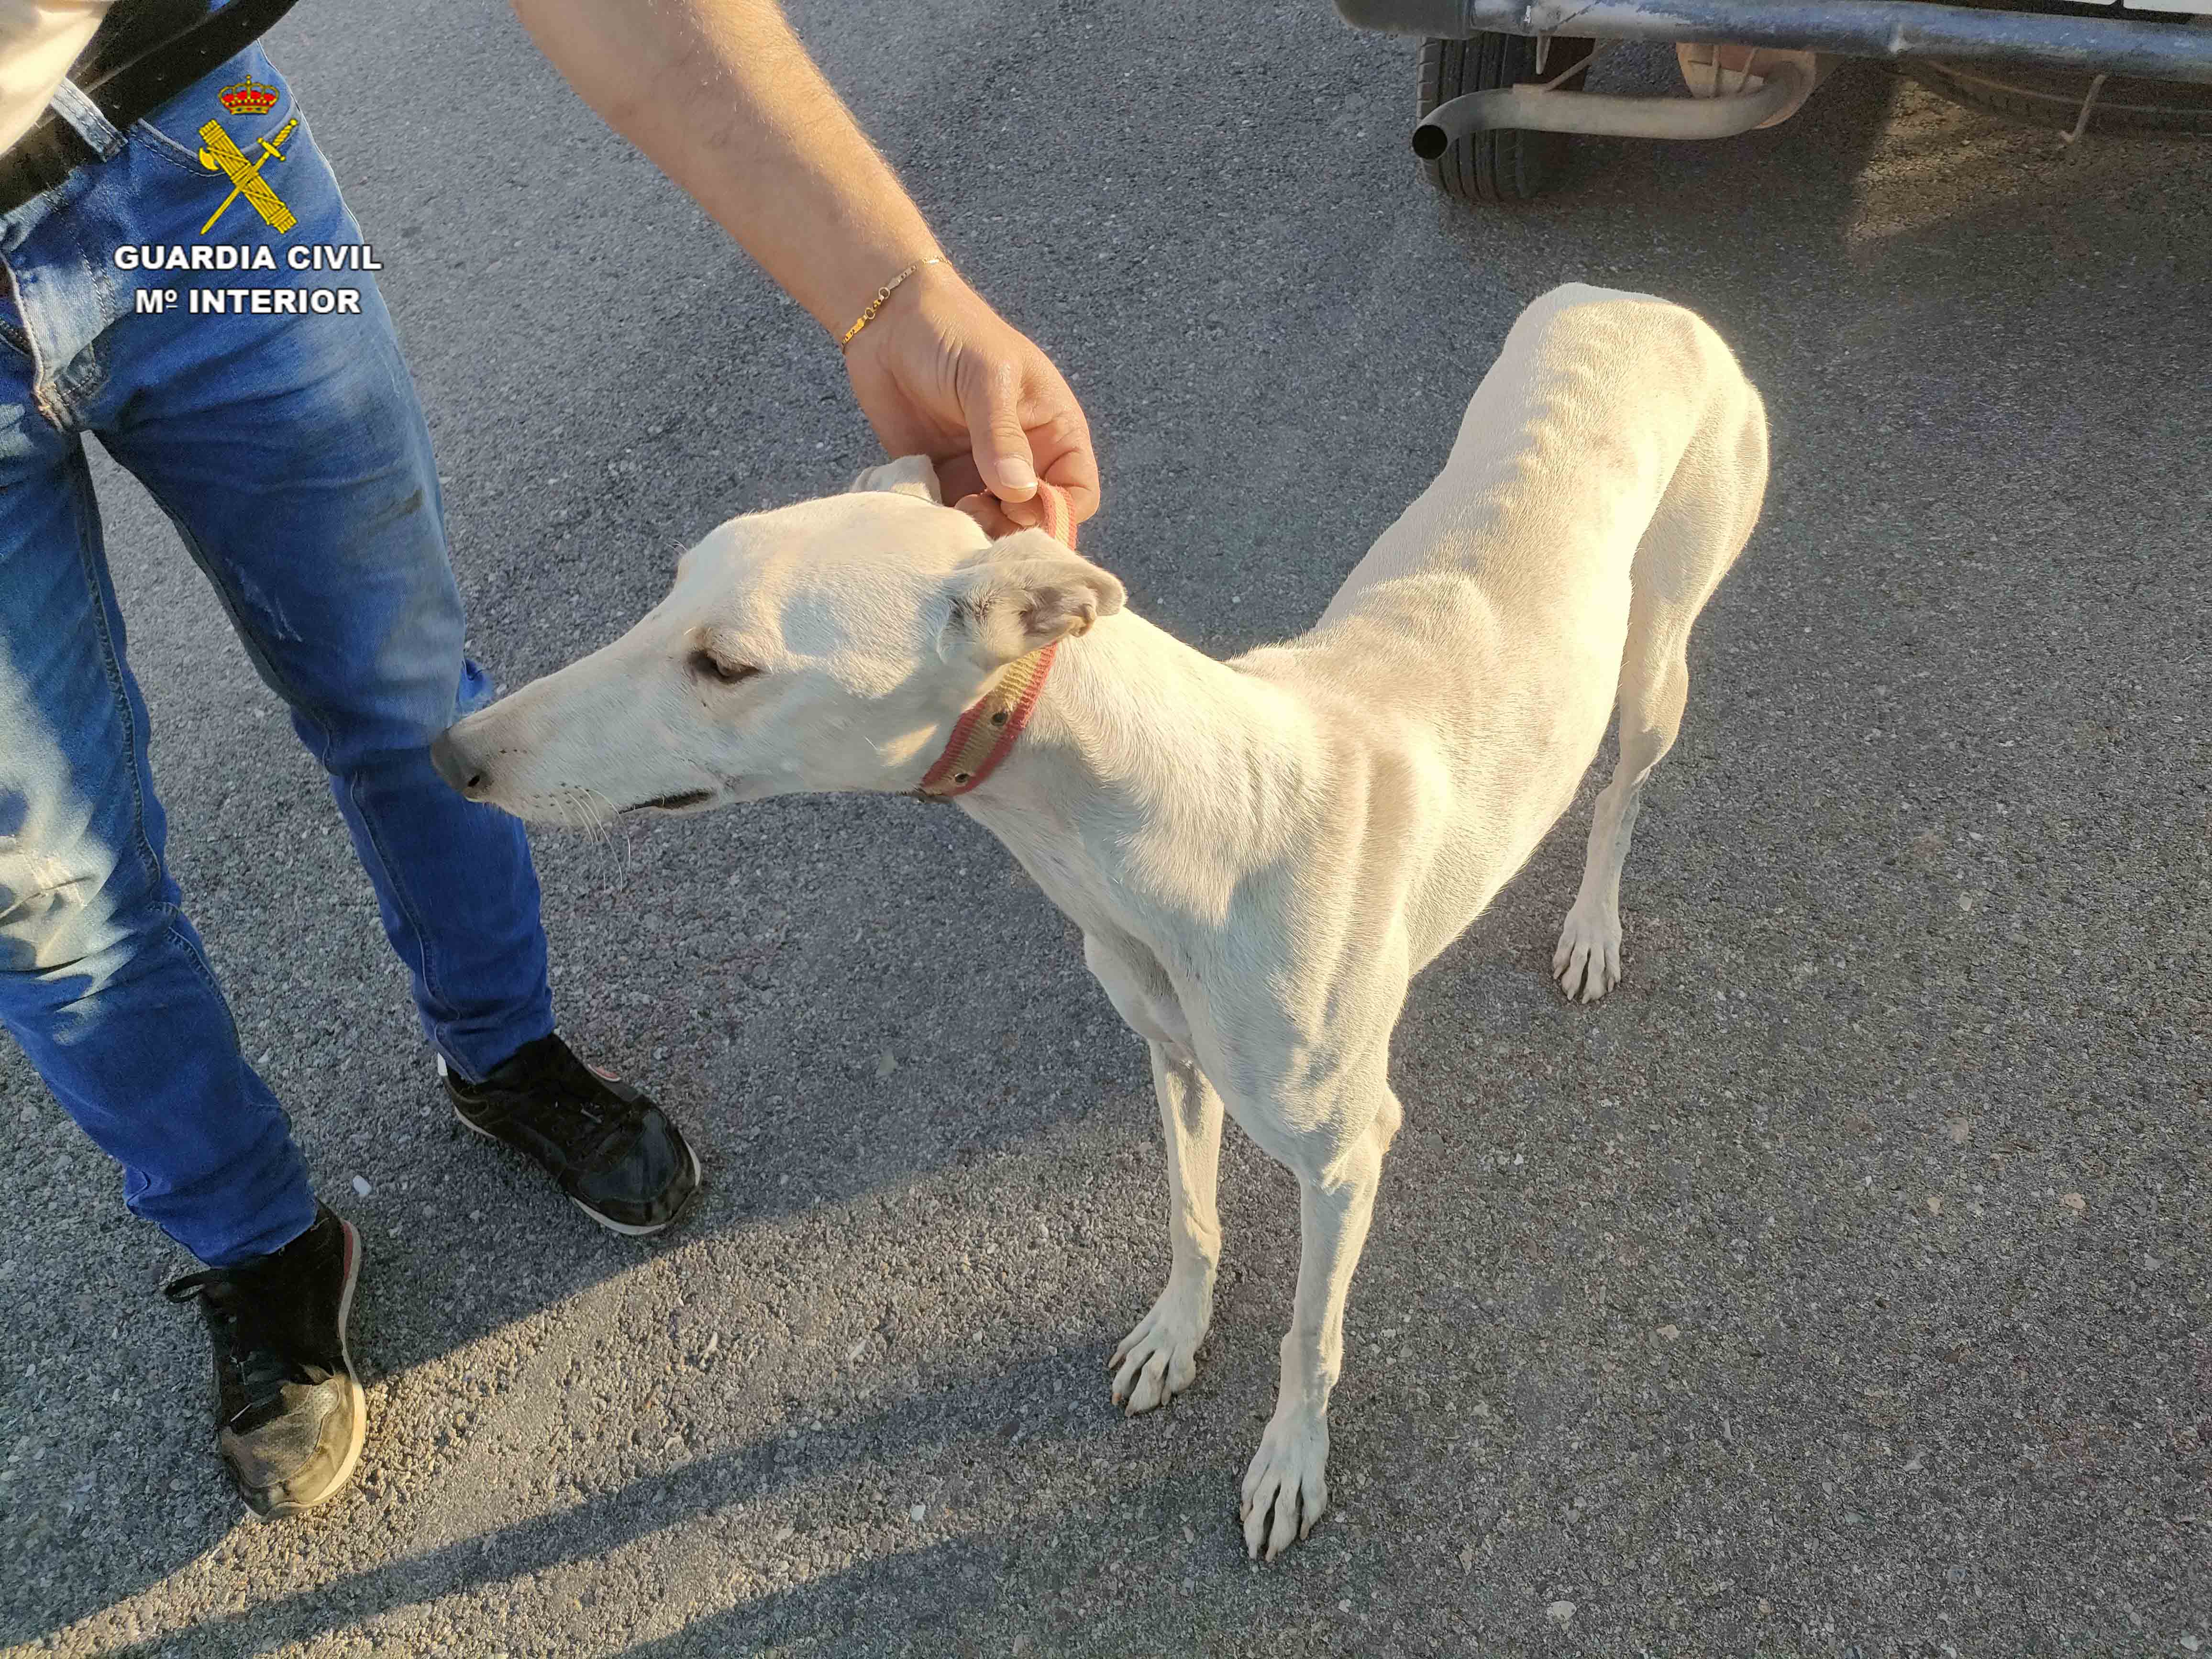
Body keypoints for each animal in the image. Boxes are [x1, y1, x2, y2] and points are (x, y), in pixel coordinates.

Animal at [431, 283, 1770, 1557]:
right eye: (668, 590)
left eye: (724, 664)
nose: (450, 756)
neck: (1192, 814)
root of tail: (1637, 301)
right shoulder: (1169, 1054)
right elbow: (1190, 1215)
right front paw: (1174, 1335)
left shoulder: (1346, 1152)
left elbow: (1309, 1333)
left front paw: (1290, 1459)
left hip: (1656, 656)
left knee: (1623, 789)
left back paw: (1591, 927)